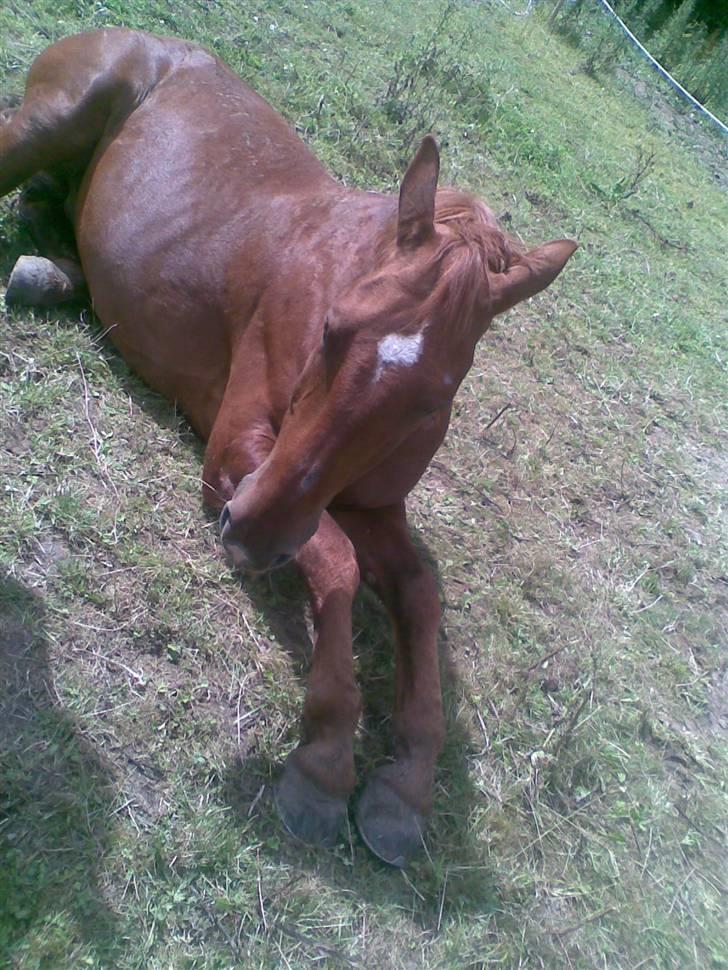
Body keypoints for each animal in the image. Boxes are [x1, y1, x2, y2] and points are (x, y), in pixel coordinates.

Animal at [1, 28, 576, 864]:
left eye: (433, 399)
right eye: (333, 328)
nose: (251, 530)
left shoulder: (369, 508)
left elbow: (419, 593)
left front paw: (406, 783)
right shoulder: (238, 458)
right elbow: (335, 561)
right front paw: (326, 759)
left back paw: (45, 272)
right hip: (46, 122)